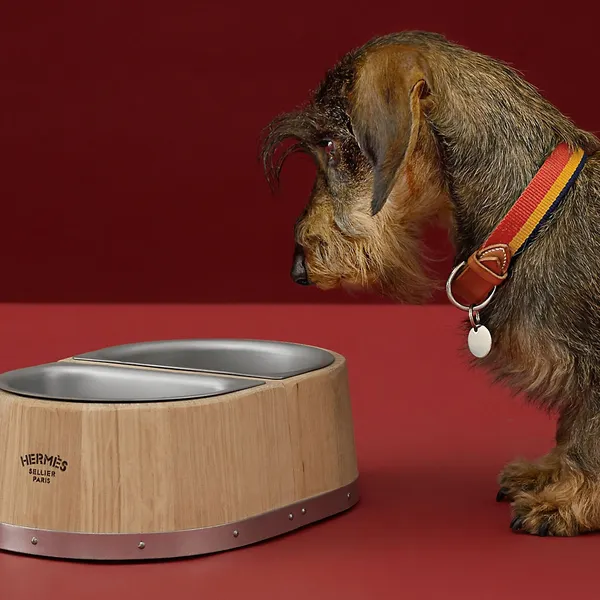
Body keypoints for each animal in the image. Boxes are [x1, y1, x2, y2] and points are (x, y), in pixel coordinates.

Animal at [260, 31, 600, 536]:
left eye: (331, 142)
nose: (297, 270)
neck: (536, 212)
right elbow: (572, 426)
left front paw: (570, 500)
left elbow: (588, 434)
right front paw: (552, 474)